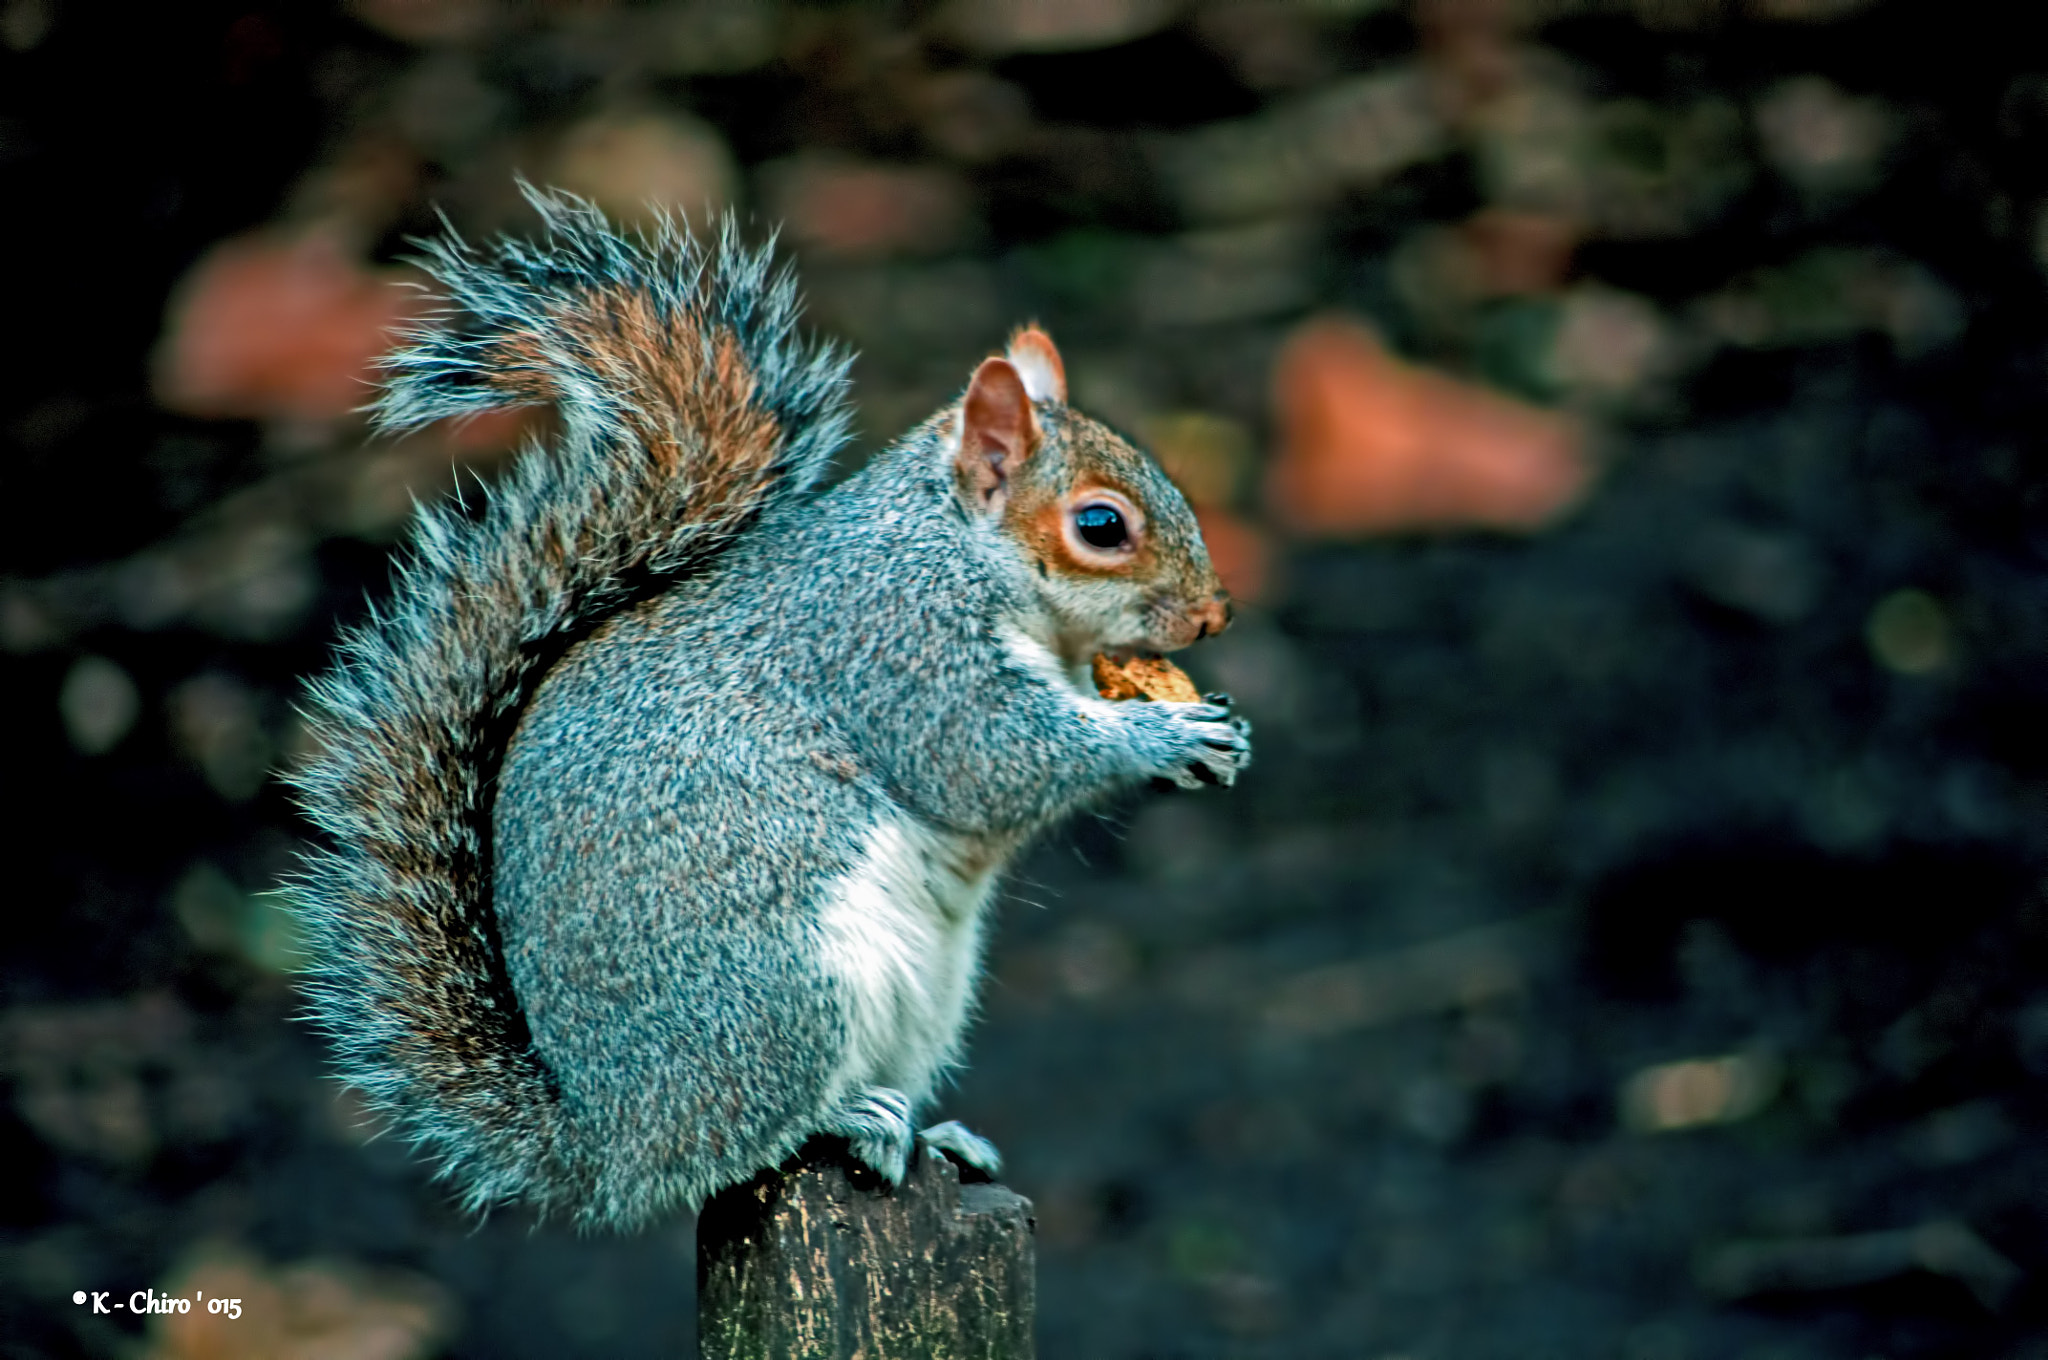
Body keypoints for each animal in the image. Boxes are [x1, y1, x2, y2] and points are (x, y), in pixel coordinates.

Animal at [286, 188, 1250, 1231]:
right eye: (1102, 526)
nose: (1213, 615)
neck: (956, 551)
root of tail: (604, 1139)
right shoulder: (899, 652)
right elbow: (989, 758)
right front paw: (1162, 734)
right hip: (781, 989)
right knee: (733, 1147)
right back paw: (845, 1121)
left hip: (922, 995)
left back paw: (934, 1133)